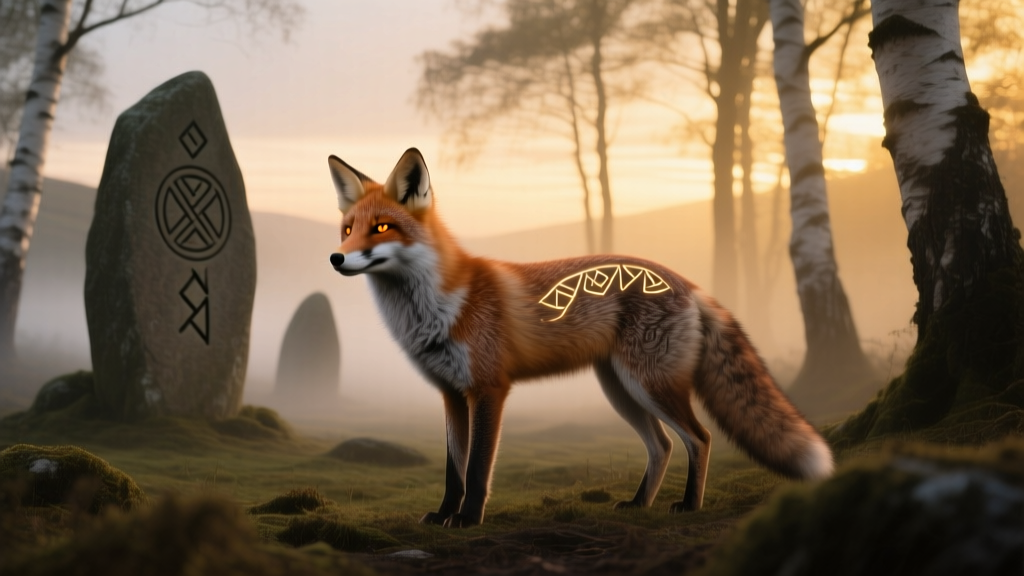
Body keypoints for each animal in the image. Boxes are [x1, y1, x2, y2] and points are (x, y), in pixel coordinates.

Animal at [327, 148, 833, 528]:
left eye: (382, 228)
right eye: (348, 230)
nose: (336, 258)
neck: (436, 309)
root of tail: (690, 284)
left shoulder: (489, 389)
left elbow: (478, 468)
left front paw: (468, 519)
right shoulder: (452, 393)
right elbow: (454, 470)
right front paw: (443, 515)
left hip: (650, 385)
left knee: (700, 438)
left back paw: (690, 505)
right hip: (621, 390)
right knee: (663, 445)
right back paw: (639, 503)